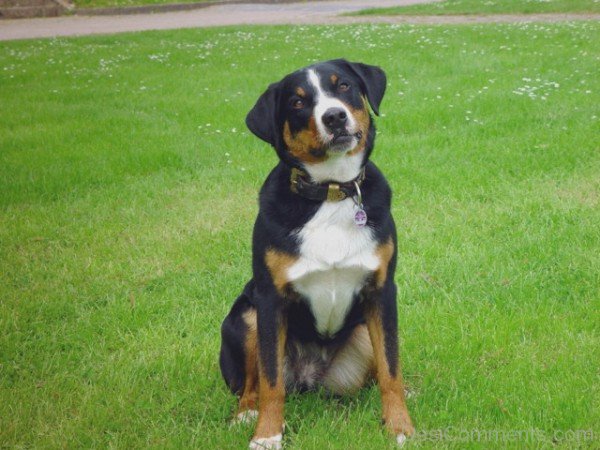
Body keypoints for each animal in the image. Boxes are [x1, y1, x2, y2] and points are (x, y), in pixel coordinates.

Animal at [221, 59, 418, 446]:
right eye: (297, 102)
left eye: (342, 86)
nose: (334, 116)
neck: (331, 192)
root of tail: (310, 375)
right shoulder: (270, 300)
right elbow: (271, 382)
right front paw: (267, 435)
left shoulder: (382, 292)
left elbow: (391, 368)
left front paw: (400, 427)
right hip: (245, 315)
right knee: (253, 384)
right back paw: (246, 413)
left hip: (362, 332)